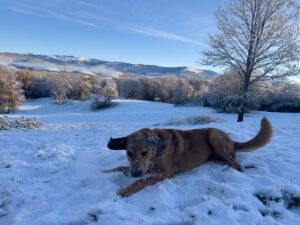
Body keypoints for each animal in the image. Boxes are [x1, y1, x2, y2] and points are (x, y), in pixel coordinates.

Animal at [102, 118, 272, 197]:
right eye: (129, 153)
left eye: (144, 153)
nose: (135, 173)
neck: (156, 152)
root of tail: (232, 140)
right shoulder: (139, 167)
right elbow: (119, 168)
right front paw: (103, 172)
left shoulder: (162, 173)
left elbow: (141, 181)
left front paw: (126, 190)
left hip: (215, 136)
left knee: (236, 164)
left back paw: (225, 171)